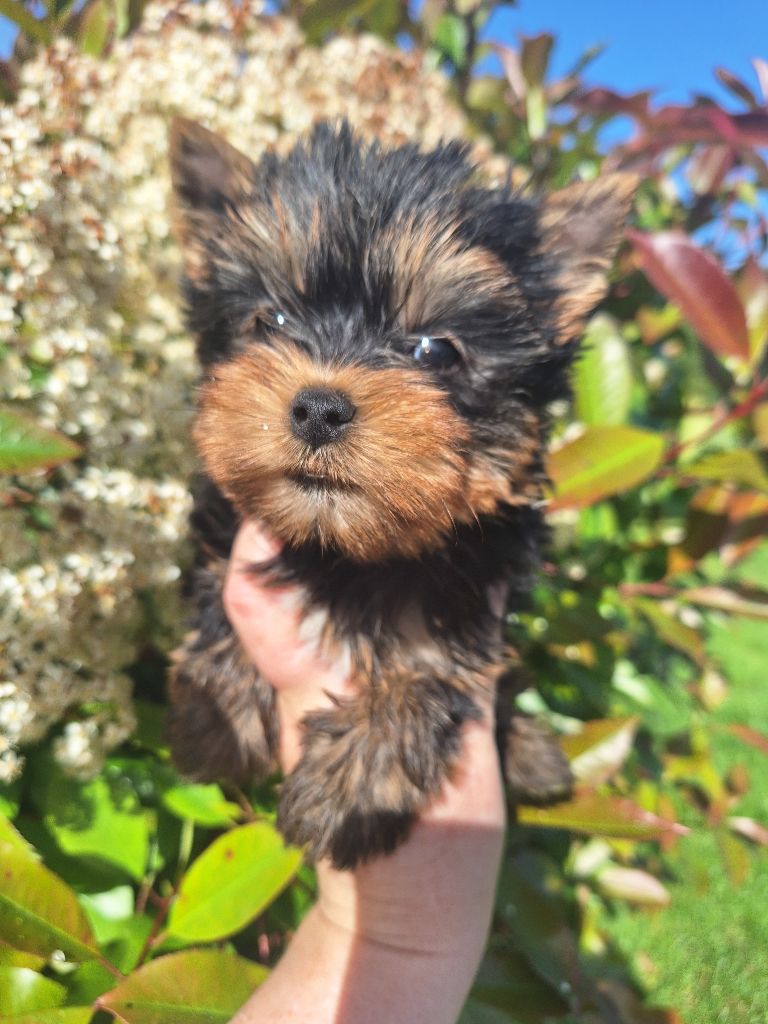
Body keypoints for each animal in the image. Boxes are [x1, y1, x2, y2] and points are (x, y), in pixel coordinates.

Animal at [167, 117, 634, 869]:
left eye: (435, 351)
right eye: (269, 321)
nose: (318, 408)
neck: (339, 548)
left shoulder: (475, 569)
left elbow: (432, 655)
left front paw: (354, 784)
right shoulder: (224, 523)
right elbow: (214, 590)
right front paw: (215, 719)